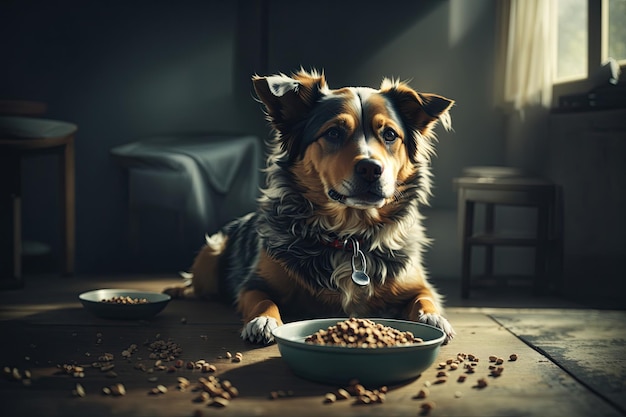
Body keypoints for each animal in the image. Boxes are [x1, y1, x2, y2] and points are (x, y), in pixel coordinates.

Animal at [162, 70, 454, 344]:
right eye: (334, 132)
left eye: (390, 135)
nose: (371, 169)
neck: (349, 239)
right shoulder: (253, 284)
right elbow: (262, 299)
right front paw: (263, 321)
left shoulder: (418, 284)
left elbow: (424, 299)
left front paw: (433, 318)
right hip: (211, 253)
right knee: (196, 286)